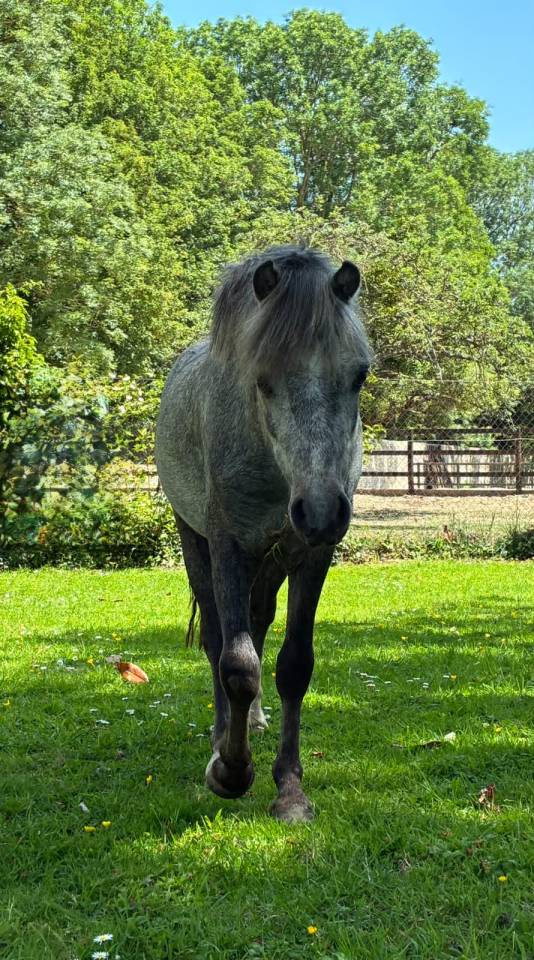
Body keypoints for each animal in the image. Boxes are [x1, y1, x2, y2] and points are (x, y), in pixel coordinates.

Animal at [155, 244, 373, 822]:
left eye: (359, 376)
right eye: (263, 378)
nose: (320, 511)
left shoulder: (310, 555)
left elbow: (293, 665)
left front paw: (290, 789)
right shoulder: (228, 545)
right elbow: (234, 662)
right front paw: (230, 770)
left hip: (273, 559)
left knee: (256, 621)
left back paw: (250, 721)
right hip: (197, 543)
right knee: (218, 640)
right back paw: (223, 737)